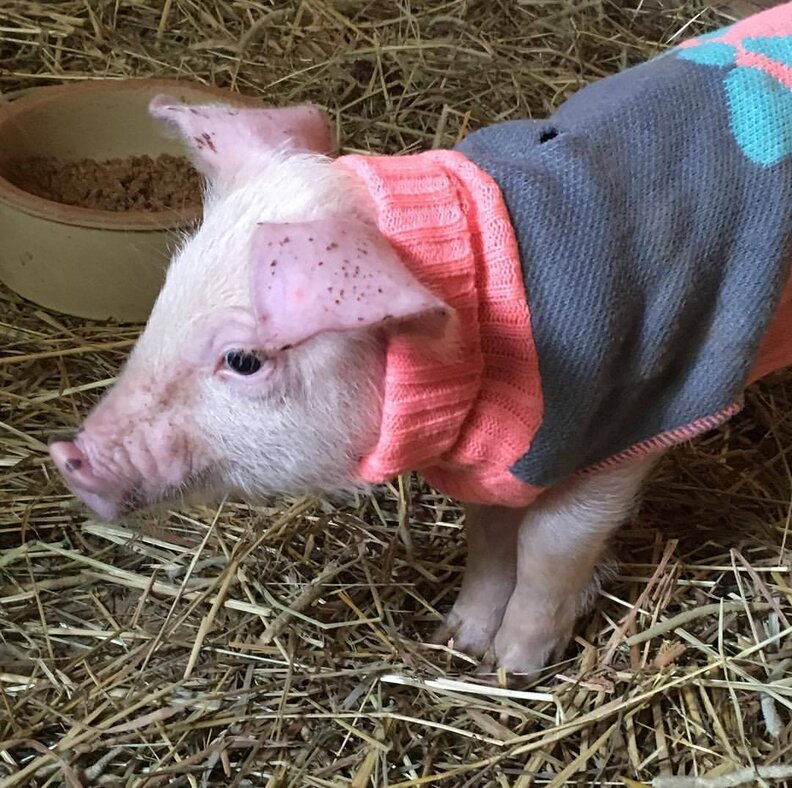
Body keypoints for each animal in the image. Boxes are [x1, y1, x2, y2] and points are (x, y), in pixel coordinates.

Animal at [50, 2, 792, 673]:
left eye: (244, 359)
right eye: (165, 296)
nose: (67, 453)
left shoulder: (633, 420)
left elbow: (549, 544)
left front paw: (512, 669)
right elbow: (490, 534)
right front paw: (457, 641)